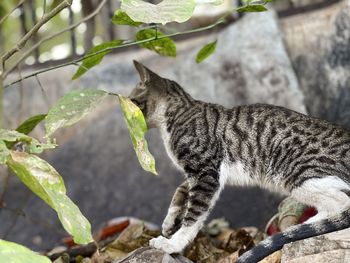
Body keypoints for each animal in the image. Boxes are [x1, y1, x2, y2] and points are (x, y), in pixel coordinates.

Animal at [129, 60, 350, 262]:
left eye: (132, 101)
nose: (127, 119)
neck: (180, 113)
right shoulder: (197, 174)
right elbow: (180, 191)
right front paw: (169, 221)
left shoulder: (205, 173)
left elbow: (194, 215)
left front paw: (172, 243)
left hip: (295, 171)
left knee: (341, 204)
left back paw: (301, 227)